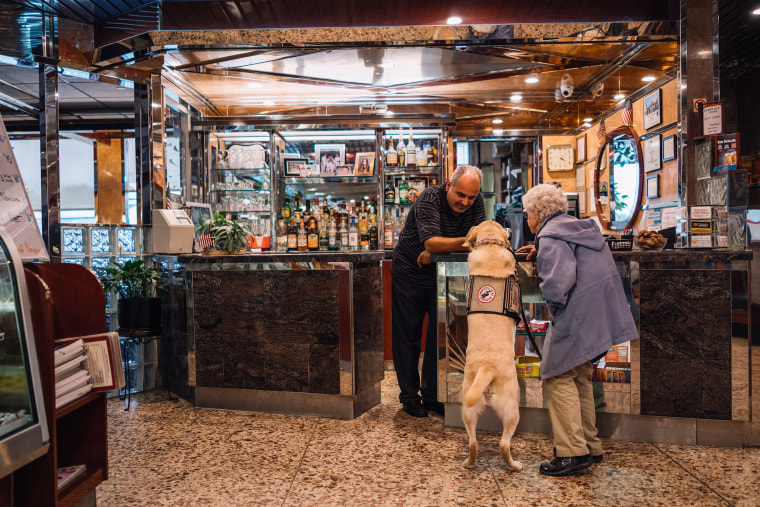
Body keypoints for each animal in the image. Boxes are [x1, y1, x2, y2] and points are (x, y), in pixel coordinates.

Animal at [458, 221, 524, 472]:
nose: (509, 229)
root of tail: (487, 367)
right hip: (513, 408)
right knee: (504, 444)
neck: (490, 246)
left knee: (473, 442)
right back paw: (514, 466)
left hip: (467, 407)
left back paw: (469, 463)